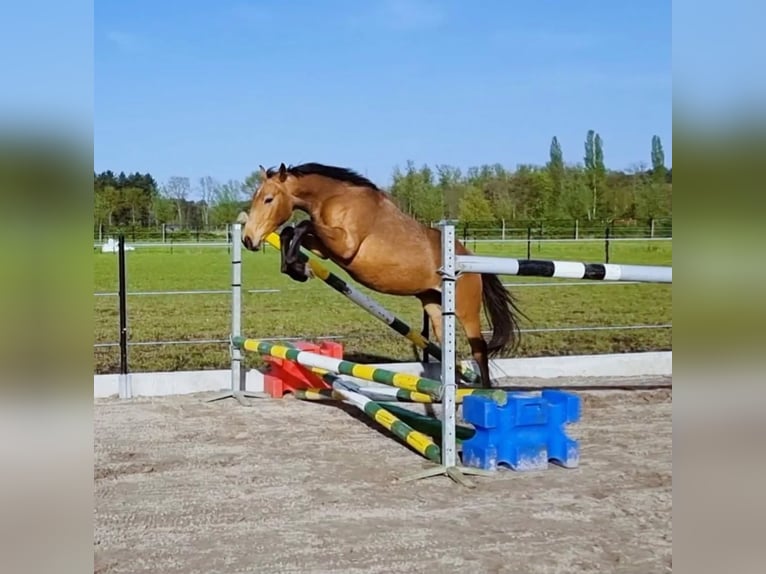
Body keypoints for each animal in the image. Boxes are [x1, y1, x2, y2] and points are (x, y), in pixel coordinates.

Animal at [240, 162, 524, 388]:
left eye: (268, 199)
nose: (248, 239)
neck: (335, 198)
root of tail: (468, 256)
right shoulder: (326, 247)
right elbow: (292, 232)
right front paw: (296, 269)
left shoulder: (344, 245)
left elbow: (301, 225)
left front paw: (299, 269)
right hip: (434, 305)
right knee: (447, 346)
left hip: (466, 310)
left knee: (480, 350)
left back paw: (483, 393)